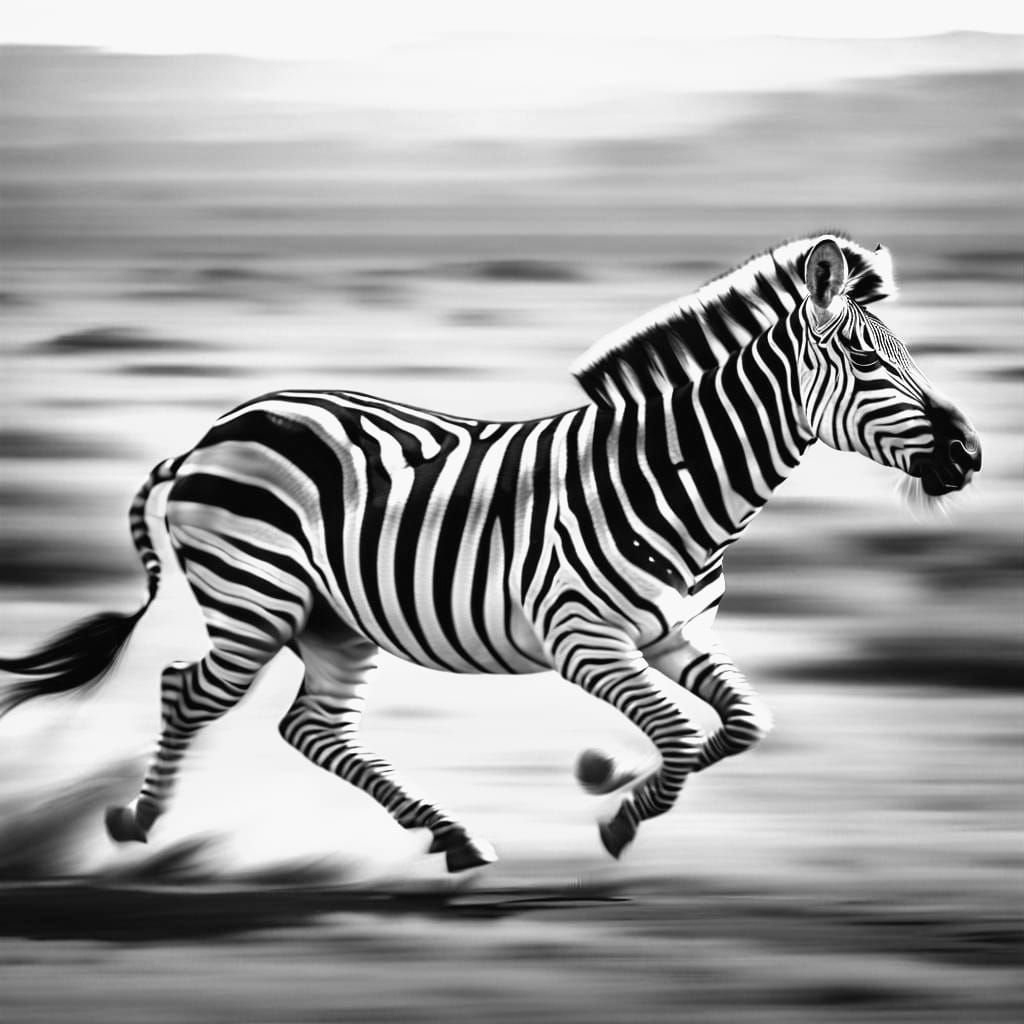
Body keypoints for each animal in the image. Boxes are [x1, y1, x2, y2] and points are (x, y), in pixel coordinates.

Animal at [0, 234, 981, 871]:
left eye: (905, 353)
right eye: (865, 360)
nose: (969, 456)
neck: (675, 482)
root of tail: (214, 430)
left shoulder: (675, 634)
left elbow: (740, 724)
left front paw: (610, 777)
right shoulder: (583, 639)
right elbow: (676, 731)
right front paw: (619, 810)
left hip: (335, 621)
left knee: (312, 728)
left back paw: (452, 835)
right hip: (255, 600)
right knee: (186, 691)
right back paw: (137, 821)